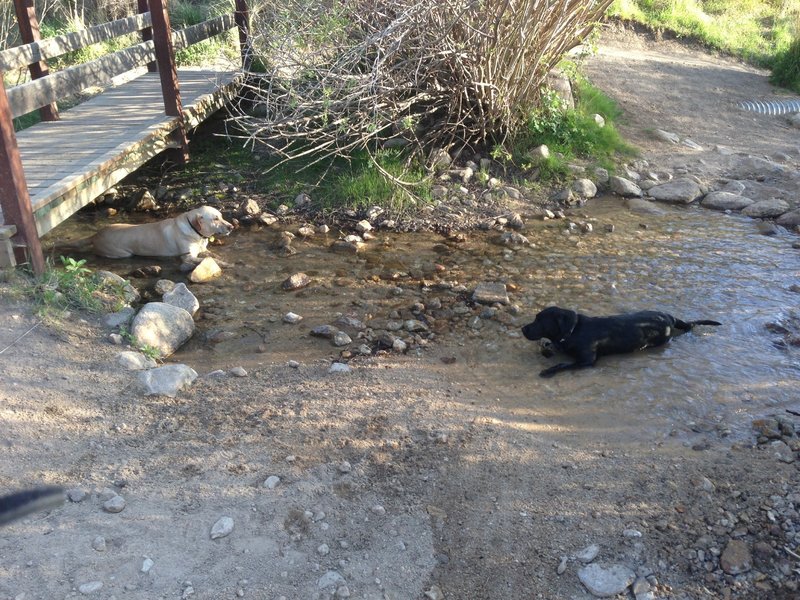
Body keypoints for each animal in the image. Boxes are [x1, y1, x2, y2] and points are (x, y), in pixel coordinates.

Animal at [92, 206, 234, 258]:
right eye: (215, 219)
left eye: (221, 216)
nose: (231, 227)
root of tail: (96, 235)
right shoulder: (188, 256)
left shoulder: (203, 249)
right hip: (122, 253)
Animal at [520, 308, 720, 378]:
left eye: (539, 320)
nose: (522, 328)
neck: (574, 330)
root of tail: (669, 316)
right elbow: (548, 347)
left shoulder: (587, 360)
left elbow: (563, 364)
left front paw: (548, 371)